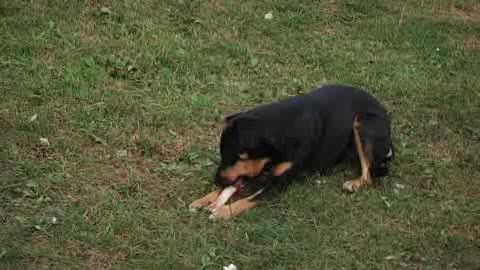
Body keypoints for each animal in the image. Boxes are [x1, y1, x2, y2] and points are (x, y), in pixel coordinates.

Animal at [189, 84, 396, 219]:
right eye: (222, 154)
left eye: (238, 156)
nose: (216, 180)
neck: (281, 128)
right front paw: (204, 200)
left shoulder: (278, 183)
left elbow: (250, 198)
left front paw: (224, 212)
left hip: (362, 122)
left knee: (369, 176)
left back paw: (354, 184)